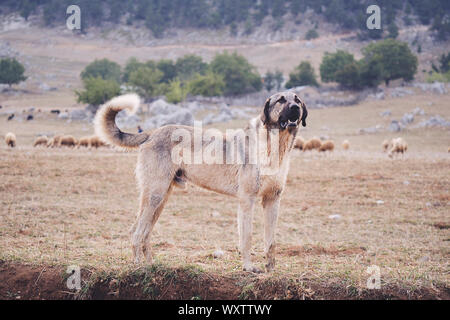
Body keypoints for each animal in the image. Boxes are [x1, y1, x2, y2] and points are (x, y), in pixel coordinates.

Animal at [93, 91, 308, 272]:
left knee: (144, 232)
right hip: (155, 195)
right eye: (281, 100)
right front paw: (248, 267)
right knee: (136, 232)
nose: (295, 108)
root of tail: (152, 133)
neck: (275, 146)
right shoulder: (247, 200)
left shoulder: (272, 200)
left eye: (297, 100)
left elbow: (271, 241)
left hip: (162, 198)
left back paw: (151, 265)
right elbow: (246, 237)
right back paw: (139, 266)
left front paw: (271, 269)